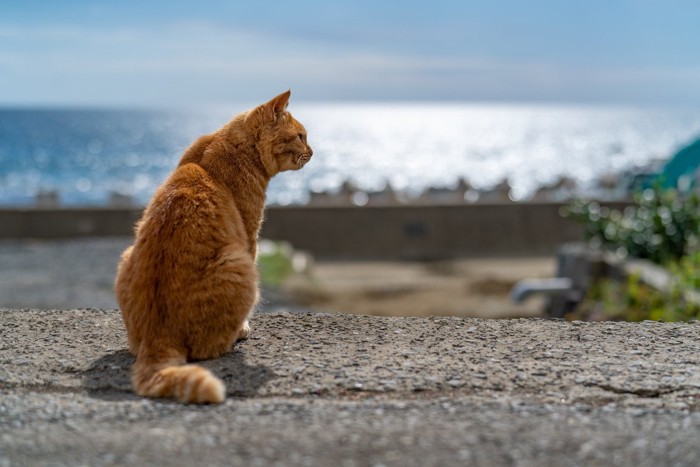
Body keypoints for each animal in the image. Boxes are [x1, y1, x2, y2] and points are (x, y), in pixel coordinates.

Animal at [115, 90, 312, 402]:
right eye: (300, 136)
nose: (313, 151)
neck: (231, 143)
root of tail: (158, 334)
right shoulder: (250, 238)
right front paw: (244, 327)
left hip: (126, 255)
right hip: (240, 266)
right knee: (209, 349)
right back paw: (234, 337)